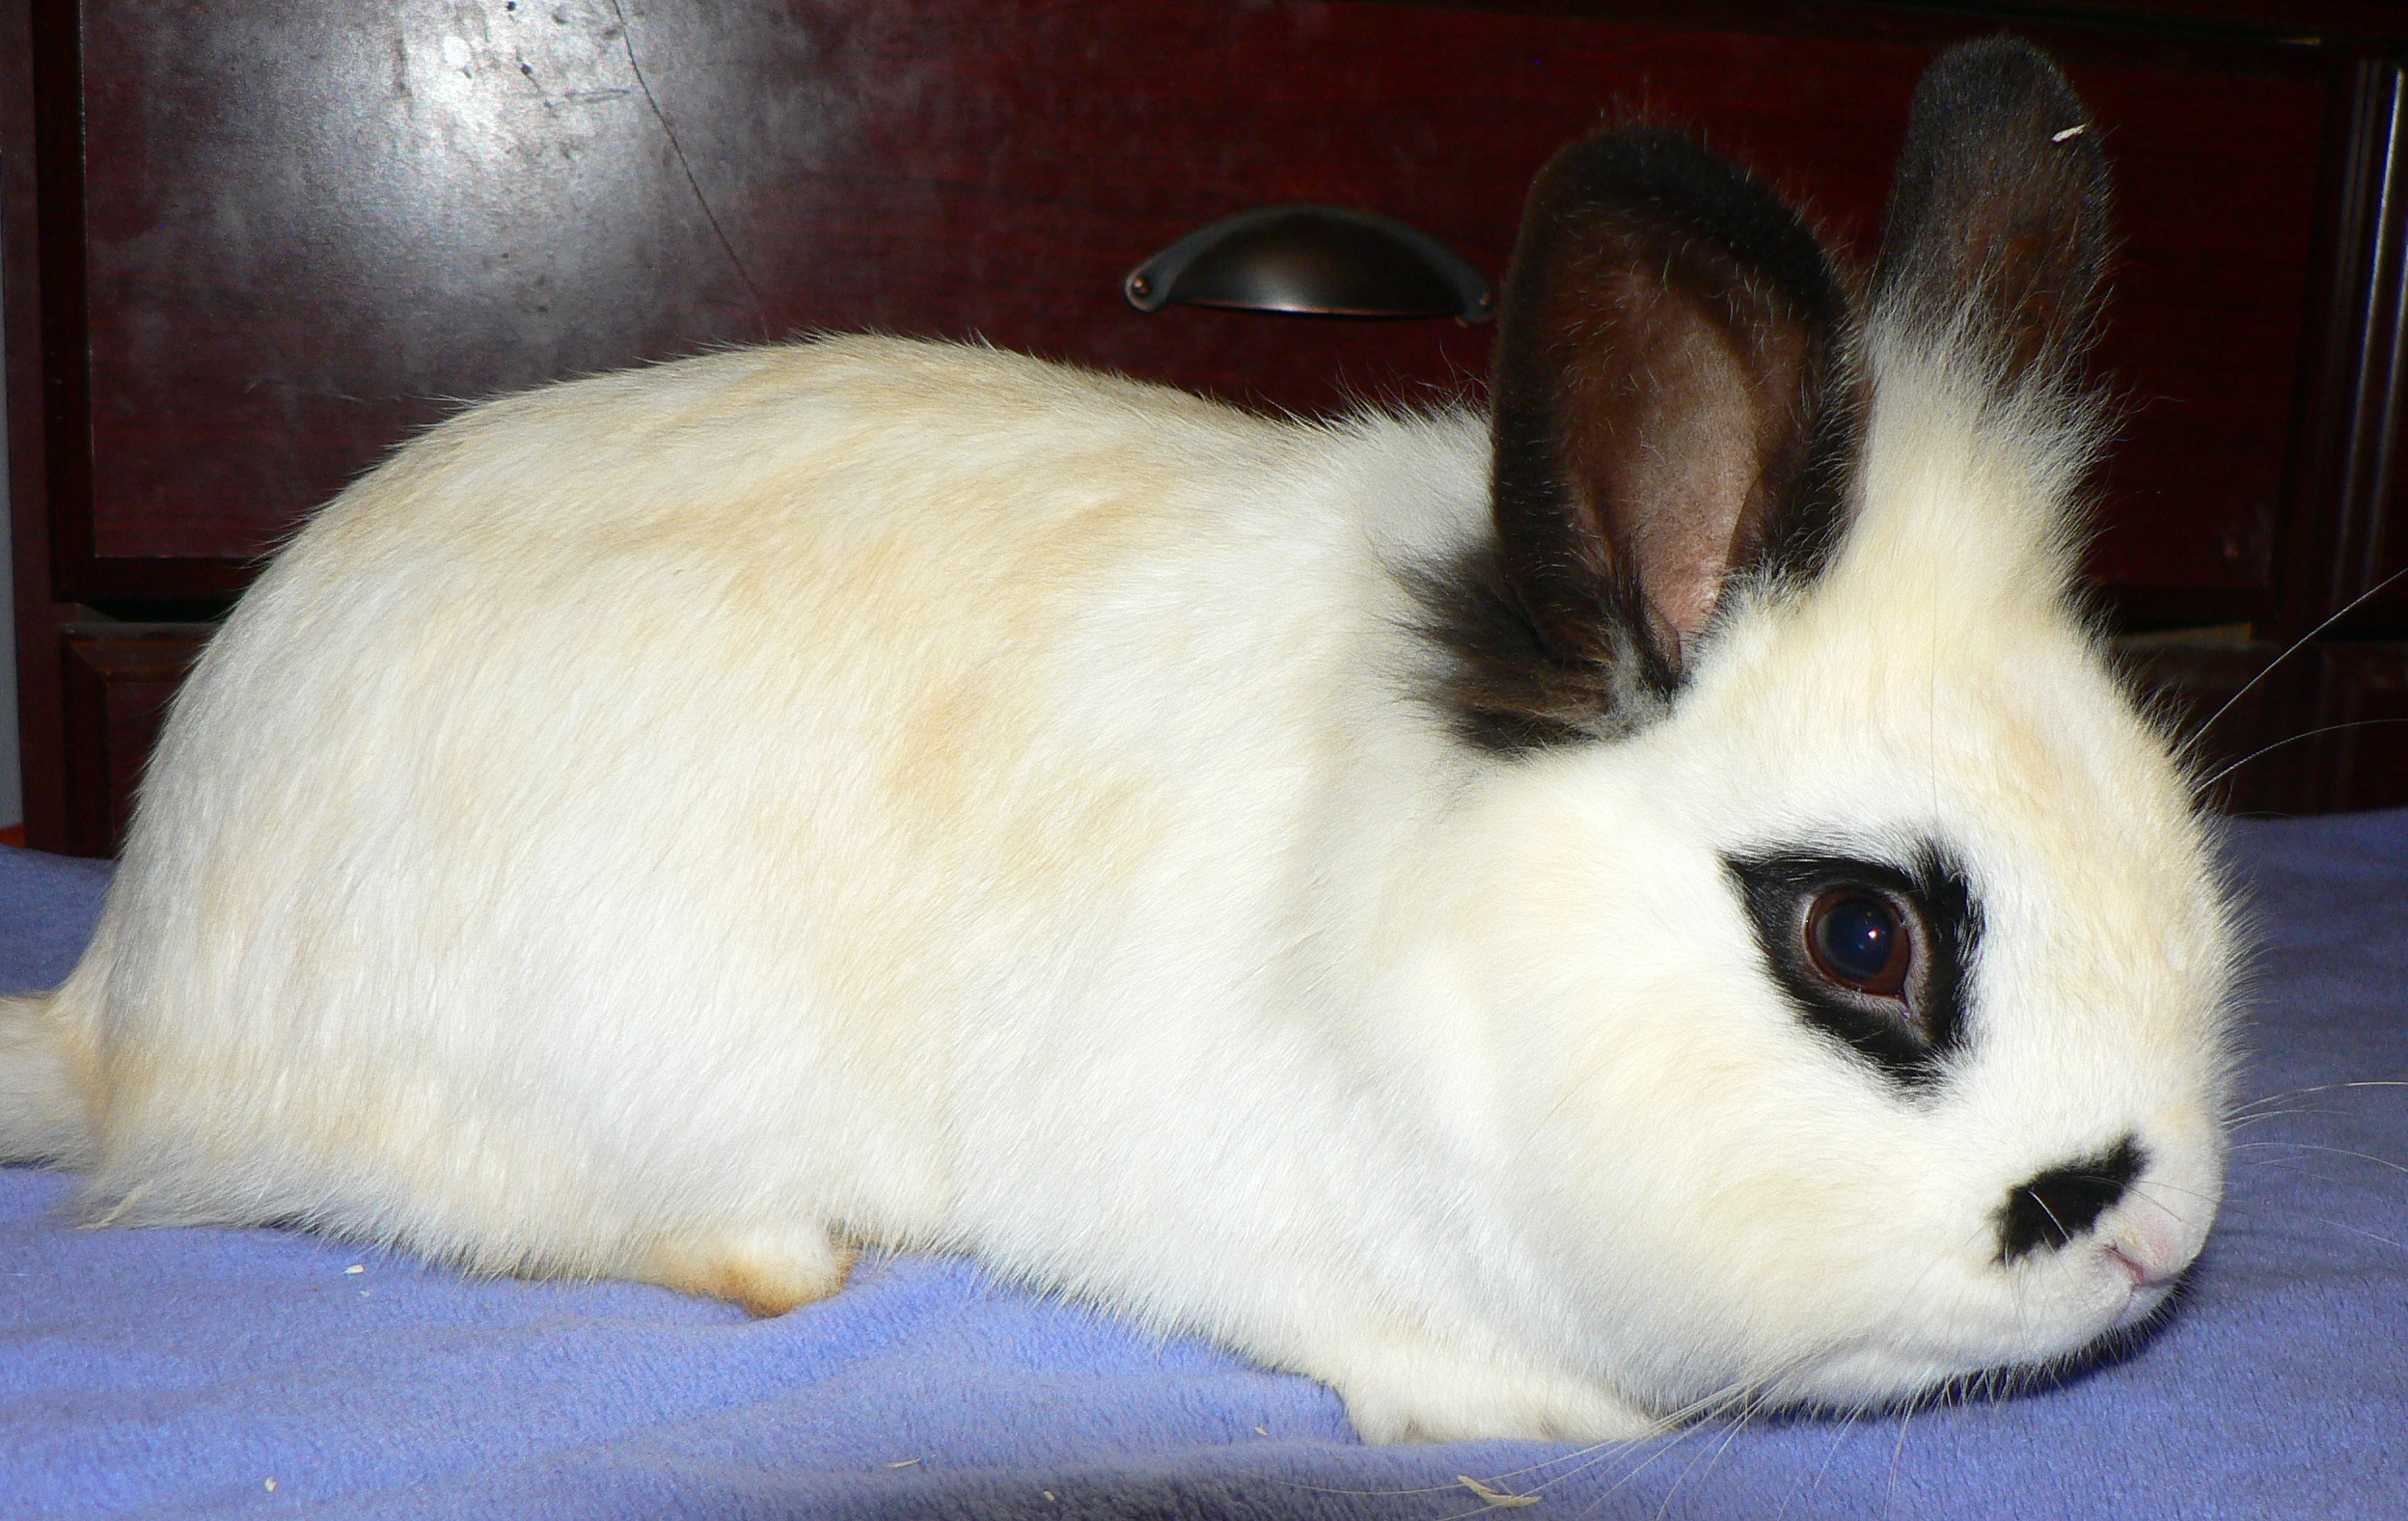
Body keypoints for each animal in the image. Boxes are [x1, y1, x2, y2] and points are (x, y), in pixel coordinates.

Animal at [0, 32, 2234, 1434]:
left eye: (2173, 830)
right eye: (1862, 935)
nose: (2159, 1240)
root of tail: (129, 997)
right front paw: (1535, 1417)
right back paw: (793, 1241)